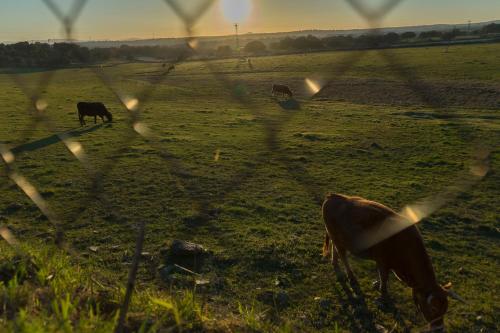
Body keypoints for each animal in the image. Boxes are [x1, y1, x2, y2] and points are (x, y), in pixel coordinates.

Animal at [322, 193, 466, 330]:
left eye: (445, 309)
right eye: (433, 308)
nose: (439, 328)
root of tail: (334, 196)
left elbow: (383, 277)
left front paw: (378, 285)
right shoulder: (382, 261)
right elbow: (384, 278)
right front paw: (383, 295)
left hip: (338, 239)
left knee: (336, 250)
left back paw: (335, 265)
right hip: (337, 238)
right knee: (342, 255)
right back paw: (350, 276)